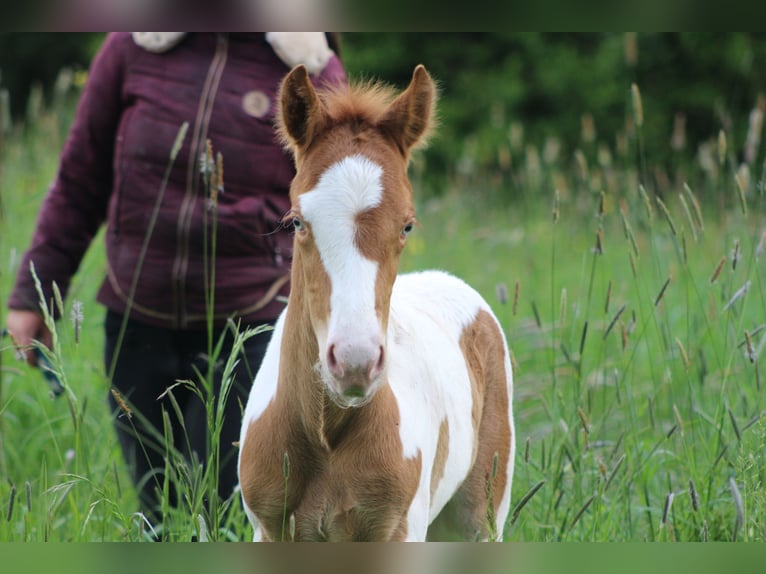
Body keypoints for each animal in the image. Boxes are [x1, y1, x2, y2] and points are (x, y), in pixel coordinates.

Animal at [238, 65, 516, 544]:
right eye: (296, 222)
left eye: (407, 225)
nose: (355, 362)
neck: (327, 434)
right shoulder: (269, 530)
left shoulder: (397, 530)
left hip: (482, 514)